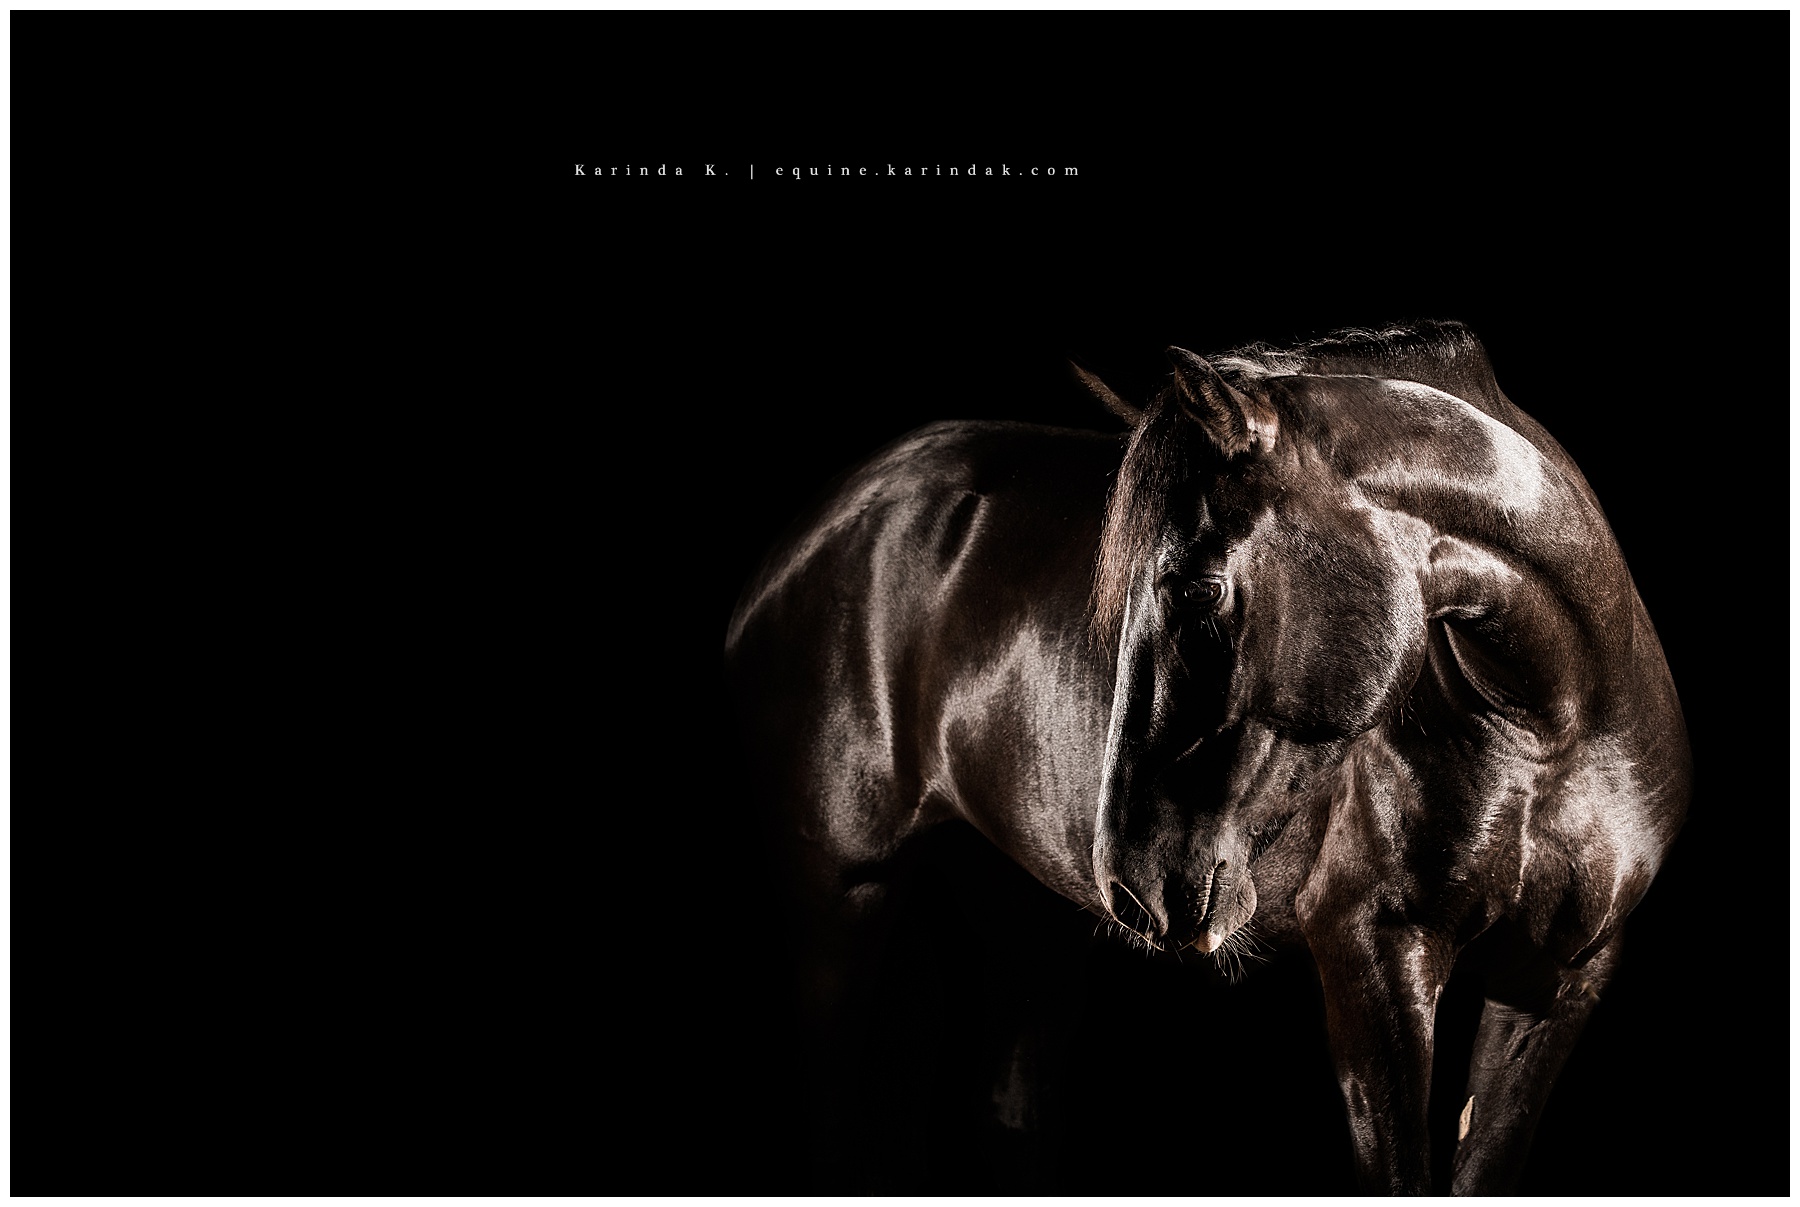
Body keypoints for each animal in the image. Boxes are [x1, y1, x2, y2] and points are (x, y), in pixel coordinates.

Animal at [722, 321, 1690, 1195]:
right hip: (839, 898)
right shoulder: (1374, 957)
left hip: (1017, 906)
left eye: (1198, 589)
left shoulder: (1558, 982)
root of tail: (816, 531)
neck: (1549, 733)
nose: (1133, 881)